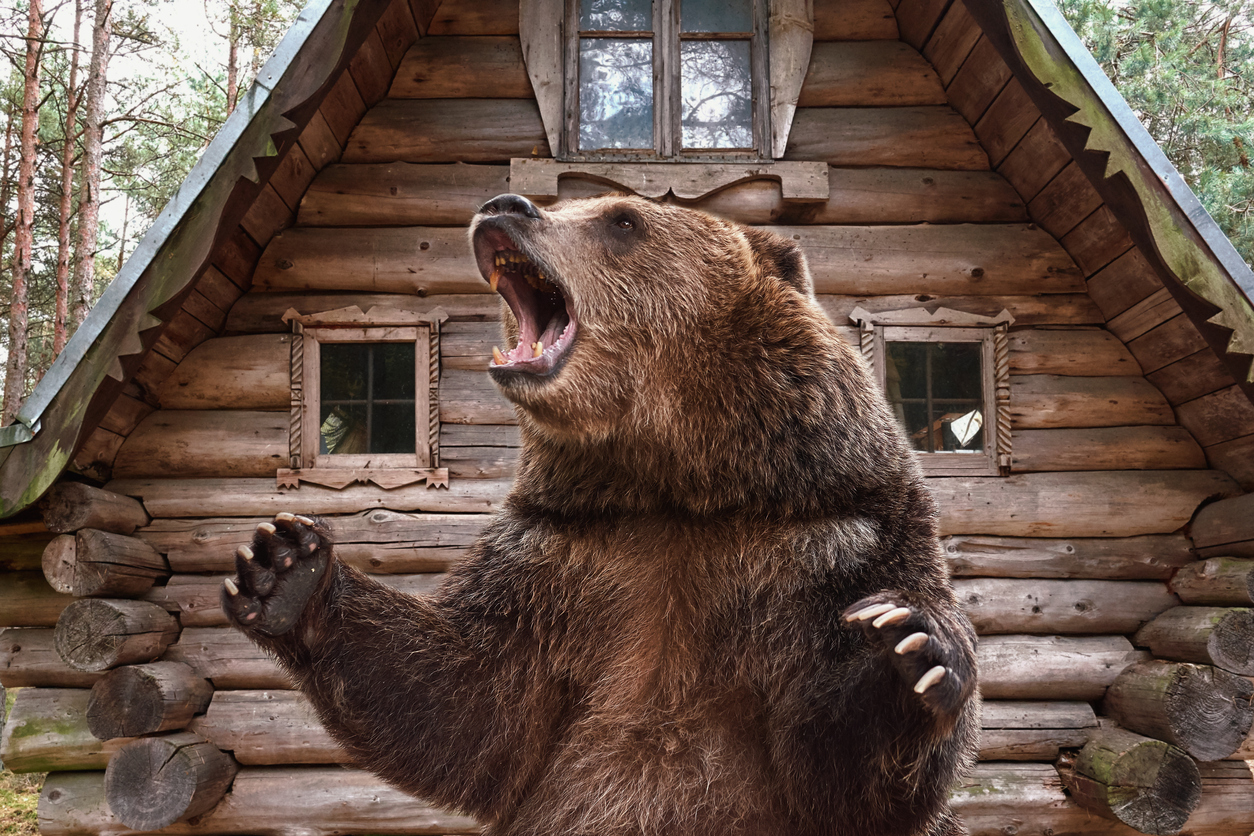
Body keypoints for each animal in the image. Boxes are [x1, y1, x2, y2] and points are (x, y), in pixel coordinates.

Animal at [222, 193, 980, 836]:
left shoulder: (834, 539)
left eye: (621, 220)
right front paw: (285, 568)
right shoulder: (558, 558)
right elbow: (464, 704)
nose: (504, 206)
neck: (673, 480)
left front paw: (903, 647)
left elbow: (837, 774)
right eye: (565, 203)